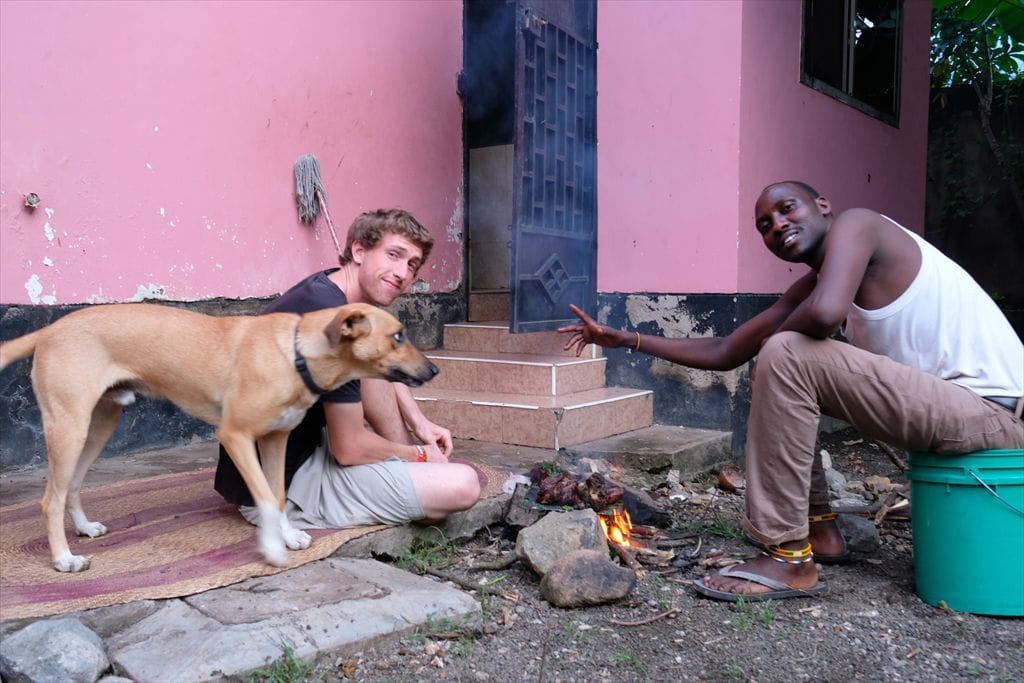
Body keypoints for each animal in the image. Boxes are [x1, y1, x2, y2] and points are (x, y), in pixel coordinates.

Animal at [0, 302, 438, 572]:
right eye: (398, 335)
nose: (435, 370)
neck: (295, 354)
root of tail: (50, 329)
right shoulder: (236, 436)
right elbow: (264, 498)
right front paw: (272, 547)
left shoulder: (275, 439)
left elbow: (279, 495)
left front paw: (288, 535)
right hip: (69, 427)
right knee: (49, 499)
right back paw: (63, 559)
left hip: (98, 426)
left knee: (71, 487)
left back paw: (84, 529)